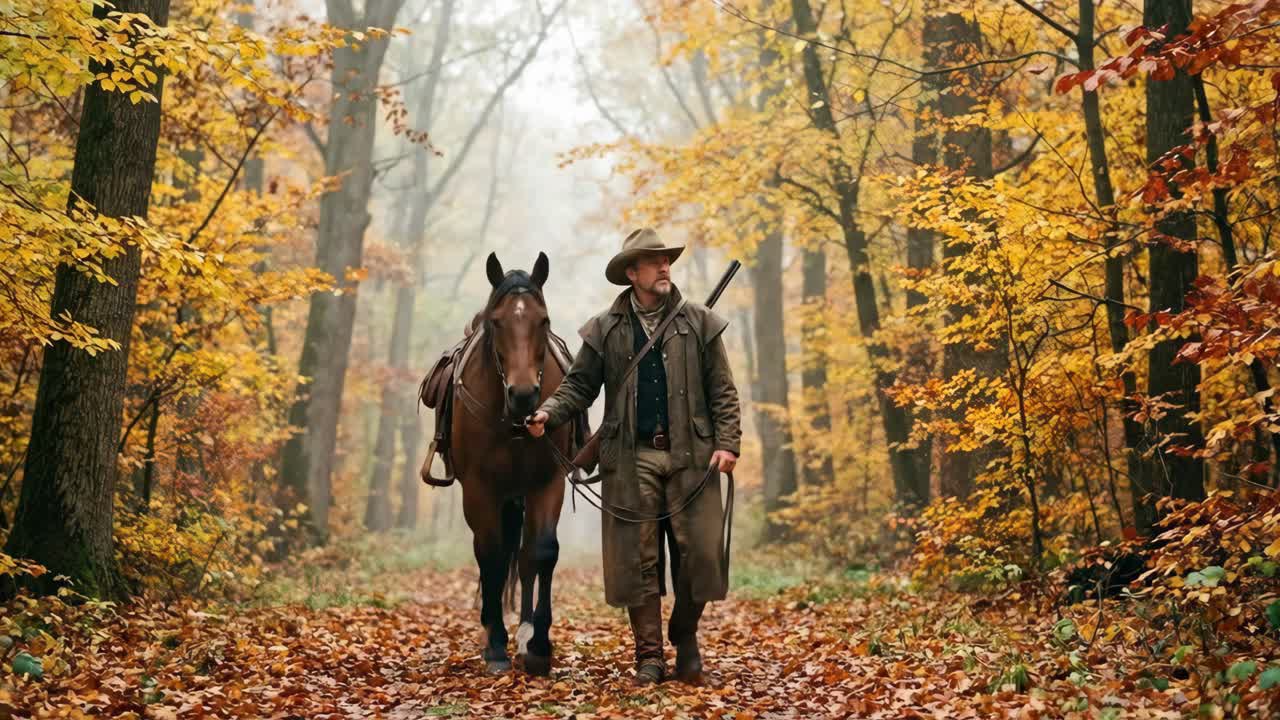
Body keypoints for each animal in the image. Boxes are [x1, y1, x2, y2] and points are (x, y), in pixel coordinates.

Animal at [422, 251, 570, 676]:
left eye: (544, 320)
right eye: (497, 321)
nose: (523, 395)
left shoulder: (548, 482)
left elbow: (541, 551)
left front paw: (538, 644)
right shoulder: (480, 489)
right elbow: (491, 554)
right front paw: (496, 645)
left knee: (523, 555)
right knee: (500, 553)